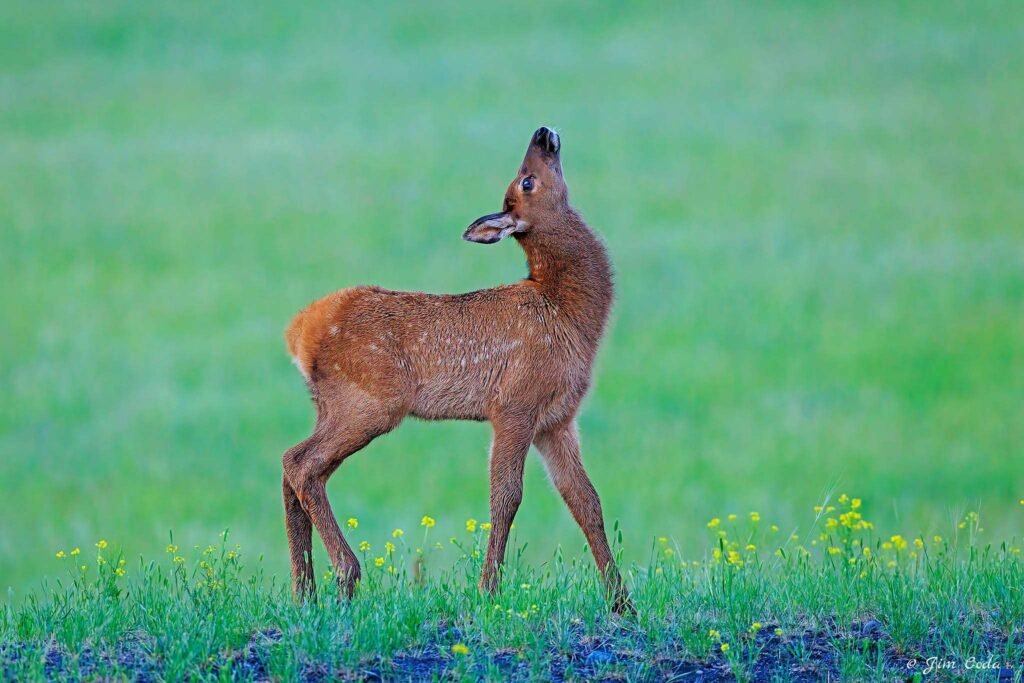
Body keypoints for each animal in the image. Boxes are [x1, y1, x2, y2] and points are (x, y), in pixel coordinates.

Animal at [281, 126, 631, 613]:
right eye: (526, 181)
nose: (543, 133)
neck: (570, 314)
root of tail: (298, 331)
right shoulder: (514, 405)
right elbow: (507, 497)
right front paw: (489, 590)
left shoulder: (557, 420)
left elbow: (586, 500)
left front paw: (622, 602)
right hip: (369, 402)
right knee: (301, 463)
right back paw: (346, 575)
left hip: (331, 405)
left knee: (296, 465)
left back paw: (305, 591)